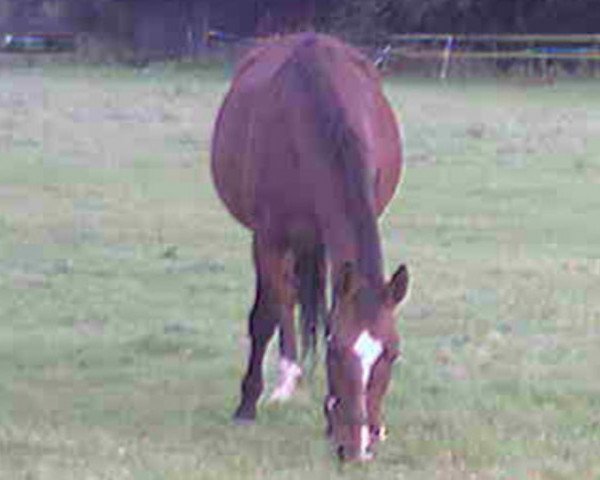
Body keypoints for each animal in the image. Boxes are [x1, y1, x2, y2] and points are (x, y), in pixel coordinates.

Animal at [210, 32, 408, 462]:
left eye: (392, 353)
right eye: (335, 351)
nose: (358, 447)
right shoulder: (268, 237)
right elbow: (264, 316)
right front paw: (246, 404)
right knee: (282, 297)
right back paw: (286, 378)